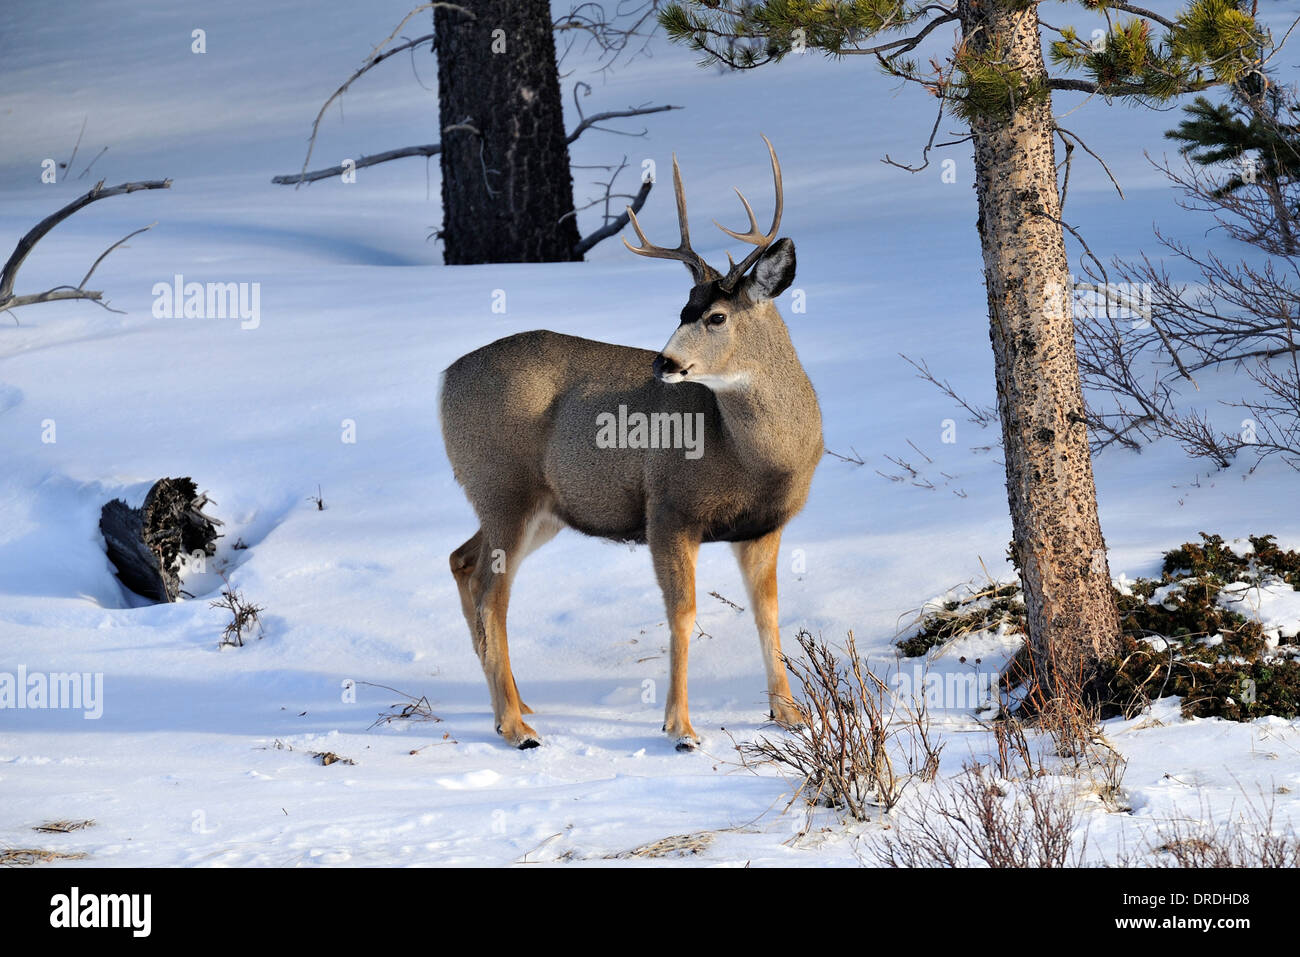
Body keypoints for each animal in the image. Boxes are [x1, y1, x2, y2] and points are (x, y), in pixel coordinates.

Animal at [436, 136, 821, 748]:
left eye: (715, 316)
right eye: (681, 310)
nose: (664, 363)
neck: (756, 459)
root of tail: (445, 379)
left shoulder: (763, 525)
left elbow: (769, 612)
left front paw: (790, 714)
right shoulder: (668, 509)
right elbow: (683, 614)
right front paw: (680, 728)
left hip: (542, 507)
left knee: (463, 562)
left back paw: (514, 707)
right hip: (501, 486)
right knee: (492, 593)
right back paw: (516, 726)